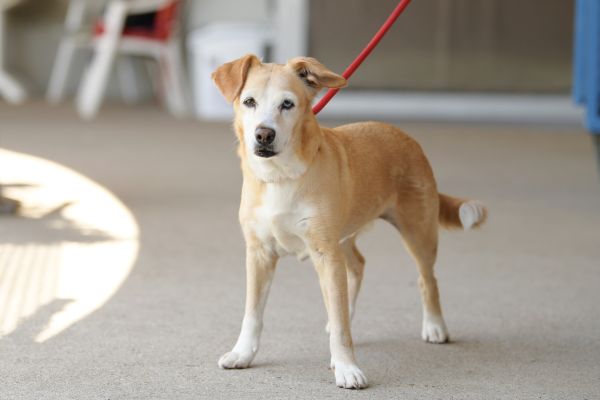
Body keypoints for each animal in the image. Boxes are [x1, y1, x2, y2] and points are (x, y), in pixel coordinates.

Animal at [211, 54, 488, 390]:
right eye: (249, 101)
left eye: (287, 104)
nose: (264, 134)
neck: (280, 176)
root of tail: (405, 137)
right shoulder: (260, 253)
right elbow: (252, 313)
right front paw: (242, 354)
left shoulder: (325, 253)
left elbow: (342, 325)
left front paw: (346, 367)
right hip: (343, 239)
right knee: (357, 267)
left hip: (417, 233)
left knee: (427, 278)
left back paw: (435, 326)